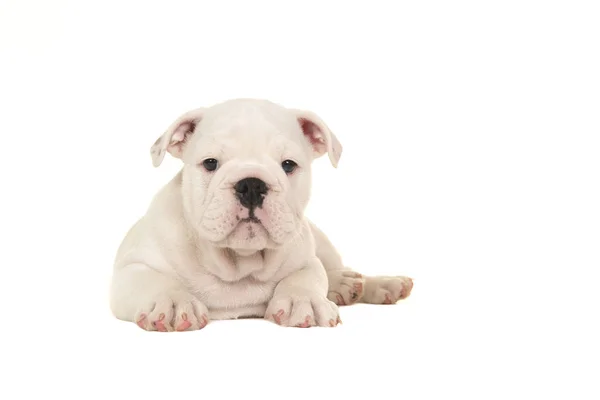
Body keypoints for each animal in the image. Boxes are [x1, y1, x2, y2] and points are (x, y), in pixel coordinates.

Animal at [110, 97, 412, 332]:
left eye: (288, 165)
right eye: (210, 163)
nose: (252, 185)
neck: (240, 264)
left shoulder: (306, 259)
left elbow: (306, 276)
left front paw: (303, 300)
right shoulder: (130, 270)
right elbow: (153, 280)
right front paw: (173, 302)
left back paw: (378, 284)